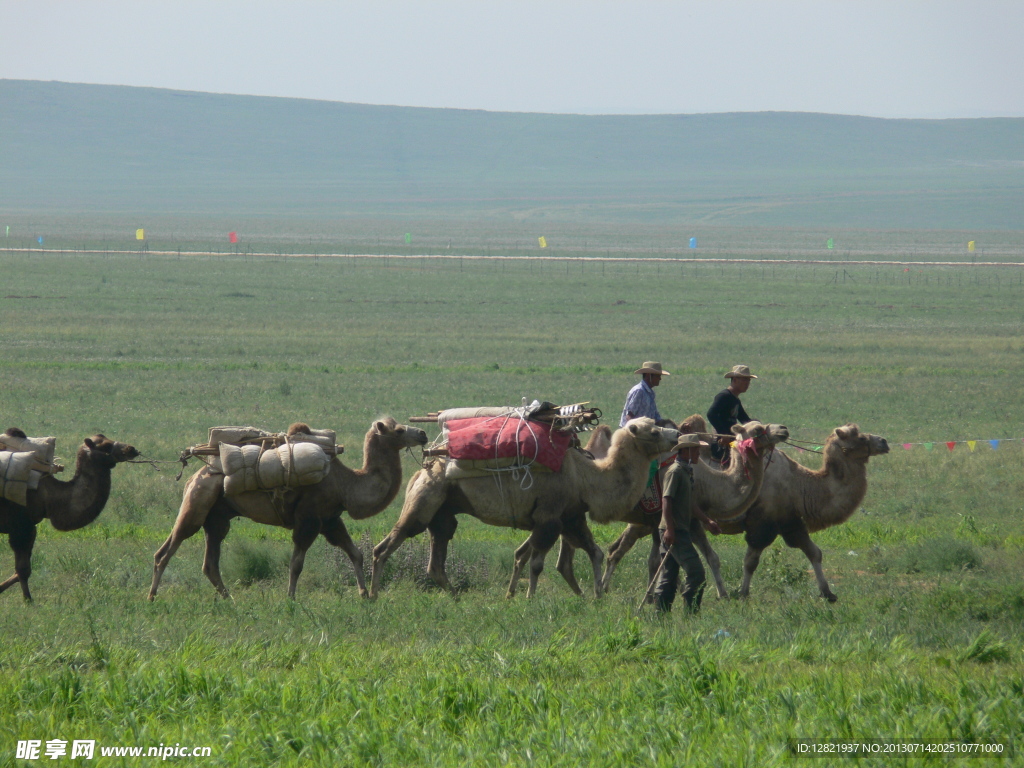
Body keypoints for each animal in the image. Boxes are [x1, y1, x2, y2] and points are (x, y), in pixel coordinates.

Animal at [0, 430, 139, 606]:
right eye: (106, 445)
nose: (131, 448)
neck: (50, 496)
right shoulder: (22, 525)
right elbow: (23, 570)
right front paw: (28, 601)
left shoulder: (30, 528)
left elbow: (20, 571)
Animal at [149, 417, 425, 606]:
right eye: (399, 430)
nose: (422, 432)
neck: (346, 483)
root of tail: (196, 474)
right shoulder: (309, 518)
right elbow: (296, 563)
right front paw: (291, 598)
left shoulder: (330, 519)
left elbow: (355, 554)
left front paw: (365, 595)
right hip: (198, 502)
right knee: (168, 549)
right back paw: (151, 597)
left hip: (216, 517)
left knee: (209, 562)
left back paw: (230, 599)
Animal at [368, 421, 679, 602]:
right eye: (654, 431)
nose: (676, 435)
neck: (586, 477)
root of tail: (425, 467)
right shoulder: (549, 517)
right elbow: (537, 563)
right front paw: (529, 598)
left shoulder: (572, 516)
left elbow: (596, 552)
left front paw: (598, 595)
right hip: (425, 501)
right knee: (388, 544)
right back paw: (371, 595)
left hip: (443, 512)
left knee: (436, 560)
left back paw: (456, 597)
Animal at [606, 423, 888, 606]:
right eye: (860, 437)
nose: (883, 441)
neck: (800, 484)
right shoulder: (765, 522)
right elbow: (750, 560)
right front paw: (740, 593)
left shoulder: (789, 521)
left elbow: (813, 552)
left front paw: (828, 593)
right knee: (626, 550)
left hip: (646, 519)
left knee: (625, 548)